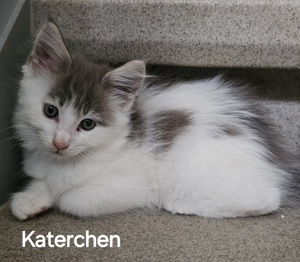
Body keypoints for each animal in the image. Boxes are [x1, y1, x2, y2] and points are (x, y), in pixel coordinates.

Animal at [9, 22, 298, 220]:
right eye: (50, 111)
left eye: (88, 124)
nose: (60, 143)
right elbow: (44, 182)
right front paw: (30, 199)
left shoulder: (133, 184)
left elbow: (70, 199)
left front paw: (55, 196)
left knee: (267, 199)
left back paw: (180, 204)